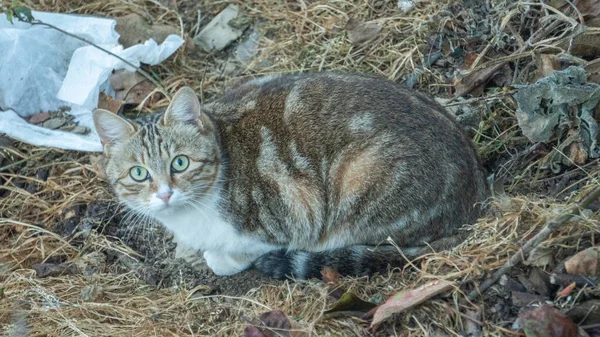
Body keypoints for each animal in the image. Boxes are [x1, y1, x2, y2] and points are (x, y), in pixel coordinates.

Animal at [92, 71, 488, 278]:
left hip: (360, 175)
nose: (165, 194)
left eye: (180, 163)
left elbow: (239, 251)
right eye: (139, 173)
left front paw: (220, 258)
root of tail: (476, 197)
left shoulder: (294, 211)